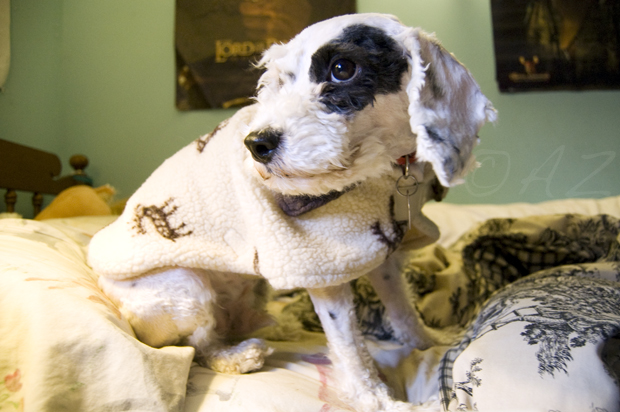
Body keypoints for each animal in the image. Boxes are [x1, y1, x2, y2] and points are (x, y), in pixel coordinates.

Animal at [88, 13, 495, 412]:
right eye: (279, 80)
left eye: (342, 68)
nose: (256, 145)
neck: (382, 168)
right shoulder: (323, 264)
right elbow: (350, 346)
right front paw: (377, 400)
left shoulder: (383, 251)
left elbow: (403, 311)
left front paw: (429, 343)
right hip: (184, 288)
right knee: (198, 345)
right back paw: (237, 356)